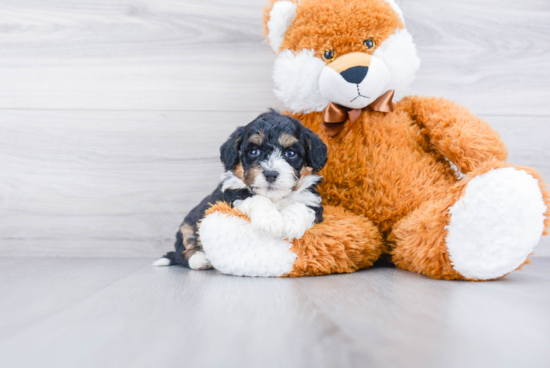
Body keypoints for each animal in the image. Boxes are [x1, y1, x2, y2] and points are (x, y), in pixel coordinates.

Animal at [153, 110, 330, 268]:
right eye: (254, 151)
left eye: (291, 153)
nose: (271, 174)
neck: (275, 198)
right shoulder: (232, 194)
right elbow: (255, 197)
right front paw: (270, 221)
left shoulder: (312, 200)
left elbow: (301, 206)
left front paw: (289, 225)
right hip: (189, 223)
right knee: (184, 247)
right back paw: (200, 260)